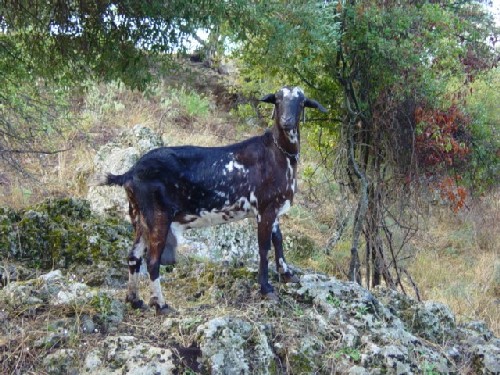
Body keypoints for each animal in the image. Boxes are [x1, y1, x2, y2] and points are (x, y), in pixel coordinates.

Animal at [96, 86, 328, 314]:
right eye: (278, 100)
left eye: (301, 102)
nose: (287, 121)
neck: (276, 153)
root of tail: (130, 173)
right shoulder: (265, 207)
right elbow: (264, 247)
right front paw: (266, 288)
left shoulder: (274, 207)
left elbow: (277, 239)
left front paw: (287, 275)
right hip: (158, 216)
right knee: (152, 261)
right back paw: (160, 305)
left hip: (139, 215)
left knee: (133, 257)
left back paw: (134, 300)